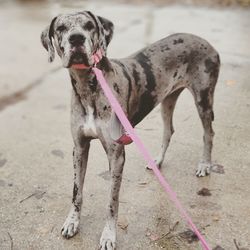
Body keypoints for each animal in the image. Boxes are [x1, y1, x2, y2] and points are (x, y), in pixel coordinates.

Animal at [41, 10, 221, 249]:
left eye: (89, 25)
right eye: (61, 28)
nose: (76, 38)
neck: (89, 87)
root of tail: (206, 42)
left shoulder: (116, 154)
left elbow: (112, 201)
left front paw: (108, 235)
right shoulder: (79, 148)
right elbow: (76, 191)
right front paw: (72, 222)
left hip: (203, 98)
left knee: (208, 133)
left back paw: (204, 165)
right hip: (167, 99)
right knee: (169, 130)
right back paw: (157, 161)